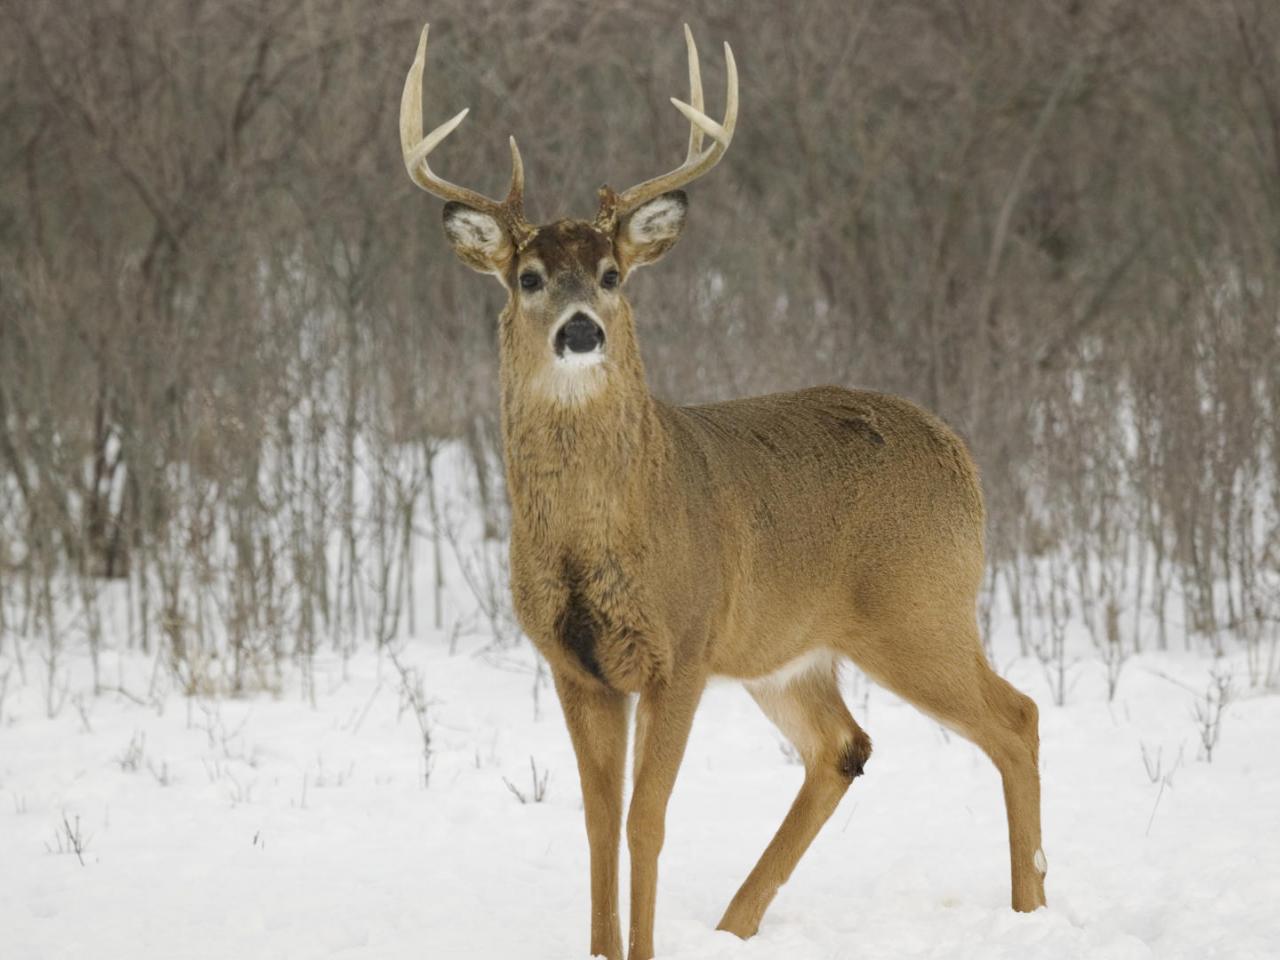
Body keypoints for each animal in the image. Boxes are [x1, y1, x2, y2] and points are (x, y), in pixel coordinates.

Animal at [399, 22, 1049, 960]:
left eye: (611, 274)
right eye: (529, 277)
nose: (581, 331)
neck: (600, 535)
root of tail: (959, 453)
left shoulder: (683, 645)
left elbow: (646, 821)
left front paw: (640, 949)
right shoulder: (575, 664)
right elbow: (596, 824)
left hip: (918, 608)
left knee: (1016, 718)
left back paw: (1032, 911)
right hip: (788, 650)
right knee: (844, 746)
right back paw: (736, 925)